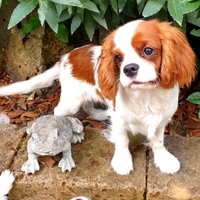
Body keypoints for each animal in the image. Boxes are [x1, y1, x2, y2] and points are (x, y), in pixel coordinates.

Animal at [0, 19, 196, 175]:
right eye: (118, 57)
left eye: (148, 50)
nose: (129, 69)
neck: (146, 94)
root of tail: (65, 58)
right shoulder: (119, 118)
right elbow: (122, 139)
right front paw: (122, 161)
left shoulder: (161, 119)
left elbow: (158, 141)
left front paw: (164, 160)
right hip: (71, 101)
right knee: (58, 112)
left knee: (88, 107)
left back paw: (100, 115)